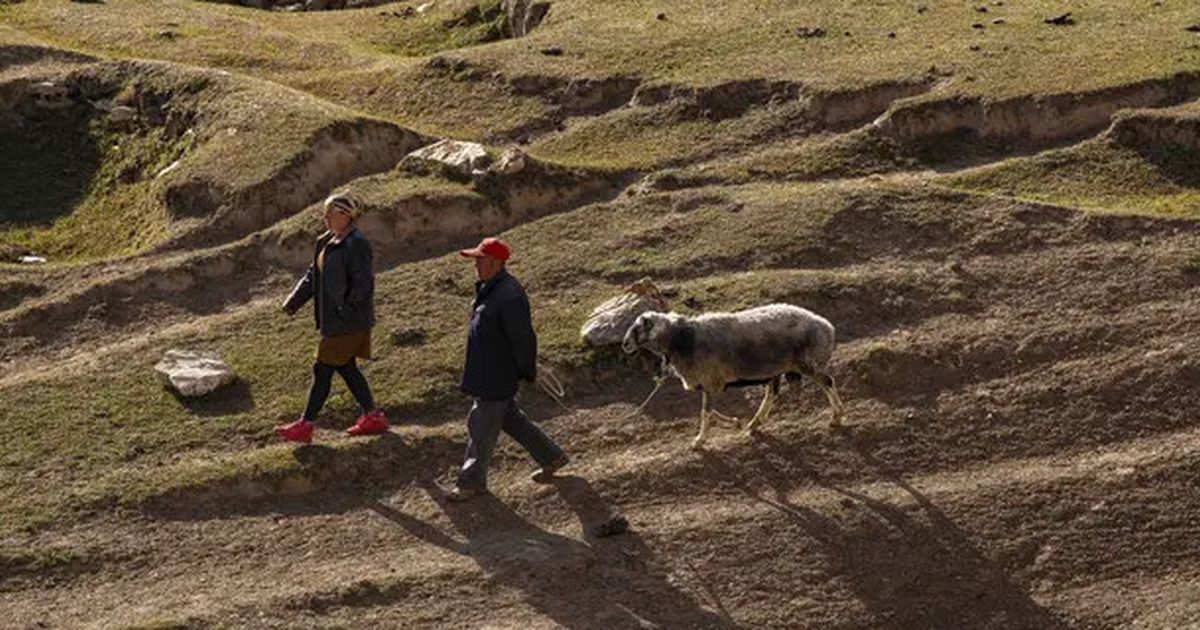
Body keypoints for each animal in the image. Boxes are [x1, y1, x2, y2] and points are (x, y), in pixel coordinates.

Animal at [624, 303, 849, 446]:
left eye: (639, 327)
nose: (624, 344)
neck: (682, 339)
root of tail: (827, 327)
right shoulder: (710, 384)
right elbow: (710, 411)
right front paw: (735, 422)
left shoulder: (710, 382)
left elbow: (706, 412)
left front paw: (699, 441)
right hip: (777, 369)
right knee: (771, 394)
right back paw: (754, 424)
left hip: (807, 363)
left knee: (828, 382)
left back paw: (836, 417)